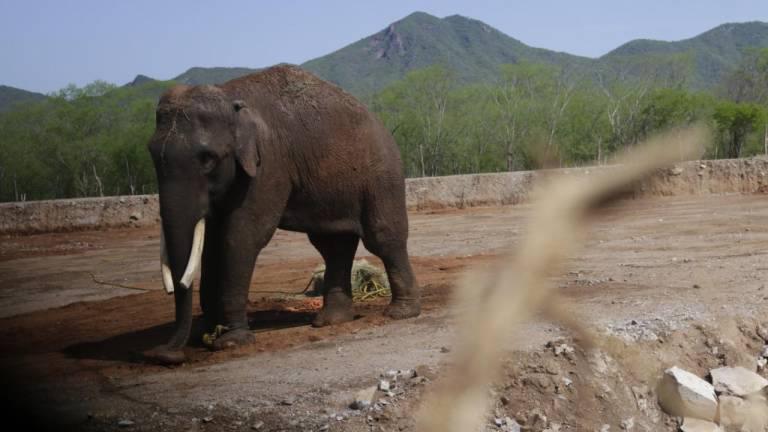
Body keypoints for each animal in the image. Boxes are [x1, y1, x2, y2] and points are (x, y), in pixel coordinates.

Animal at [143, 65, 420, 365]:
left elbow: (241, 237)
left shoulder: (268, 164)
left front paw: (231, 342)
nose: (164, 355)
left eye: (208, 158)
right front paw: (207, 334)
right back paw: (331, 321)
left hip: (382, 174)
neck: (229, 97)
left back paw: (400, 313)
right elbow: (211, 244)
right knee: (332, 245)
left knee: (382, 238)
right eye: (152, 154)